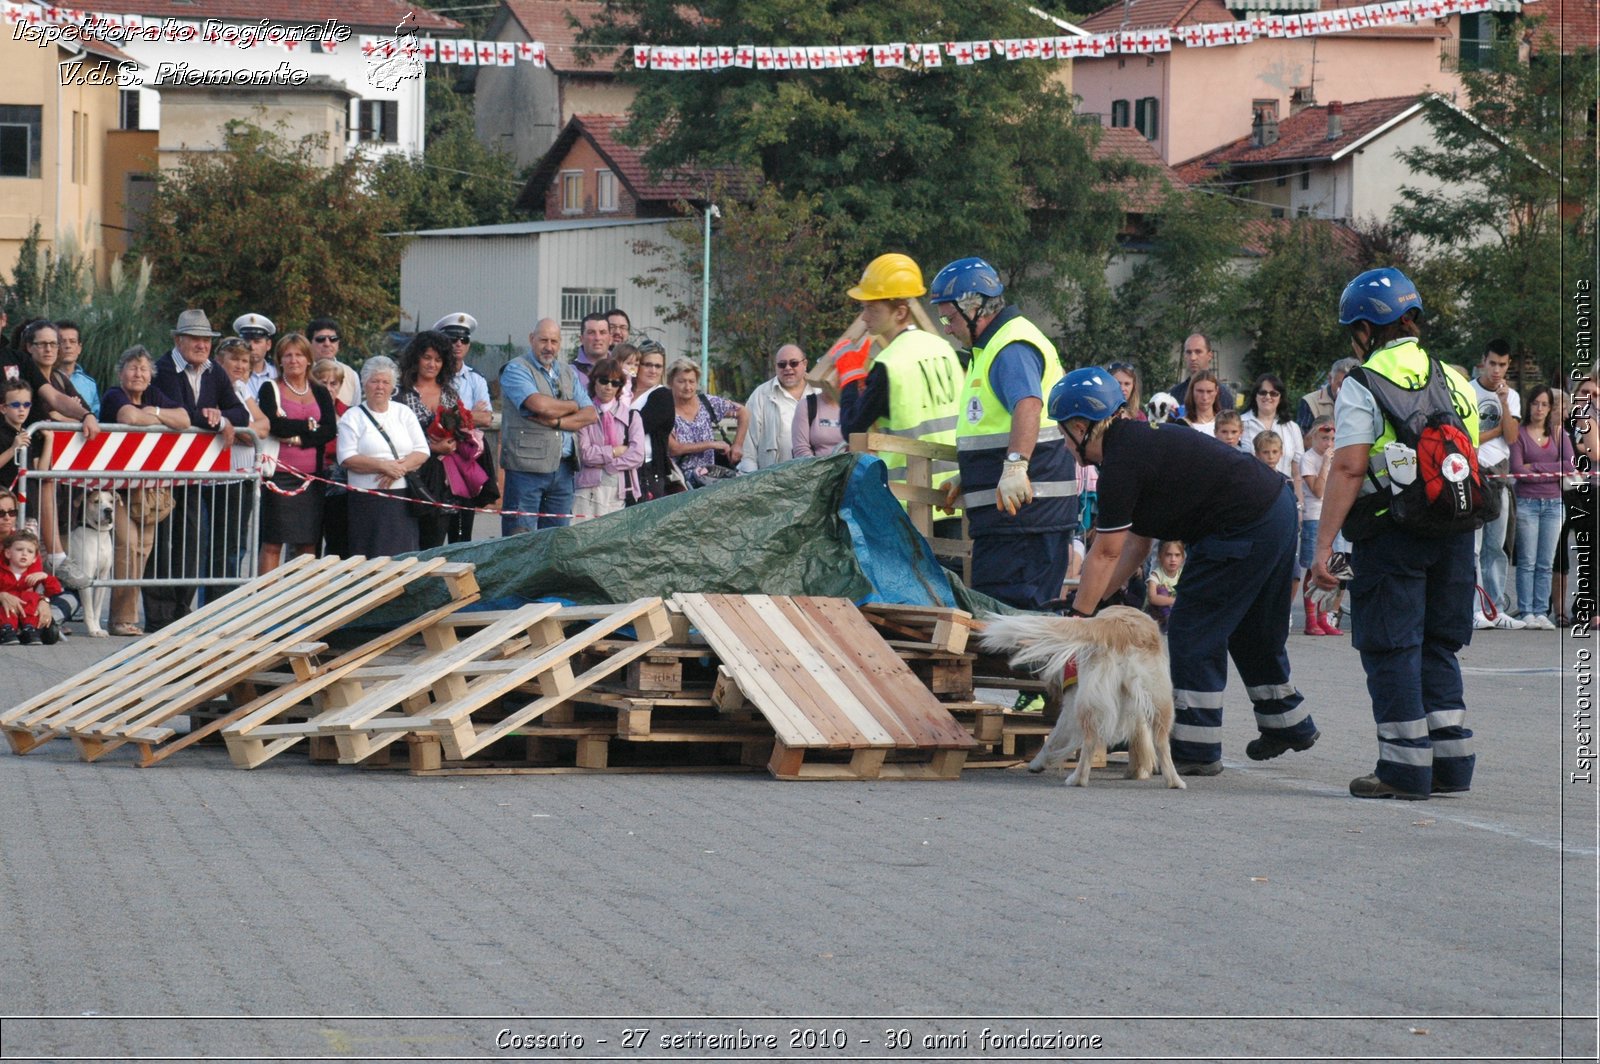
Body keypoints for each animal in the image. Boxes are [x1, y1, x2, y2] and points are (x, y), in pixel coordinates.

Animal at [65, 489, 117, 640]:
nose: (108, 510)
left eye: (112, 501)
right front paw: (93, 630)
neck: (98, 535)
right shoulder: (84, 578)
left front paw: (98, 629)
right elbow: (89, 610)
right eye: (96, 501)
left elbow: (97, 609)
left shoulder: (102, 578)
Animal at [972, 604, 1190, 787]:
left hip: (1087, 703)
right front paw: (1138, 771)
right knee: (1162, 742)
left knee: (1090, 741)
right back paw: (1175, 781)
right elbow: (1140, 738)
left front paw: (1037, 763)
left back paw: (1077, 778)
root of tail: (1119, 626)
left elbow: (1052, 738)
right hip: (1160, 700)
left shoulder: (1070, 704)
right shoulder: (1135, 708)